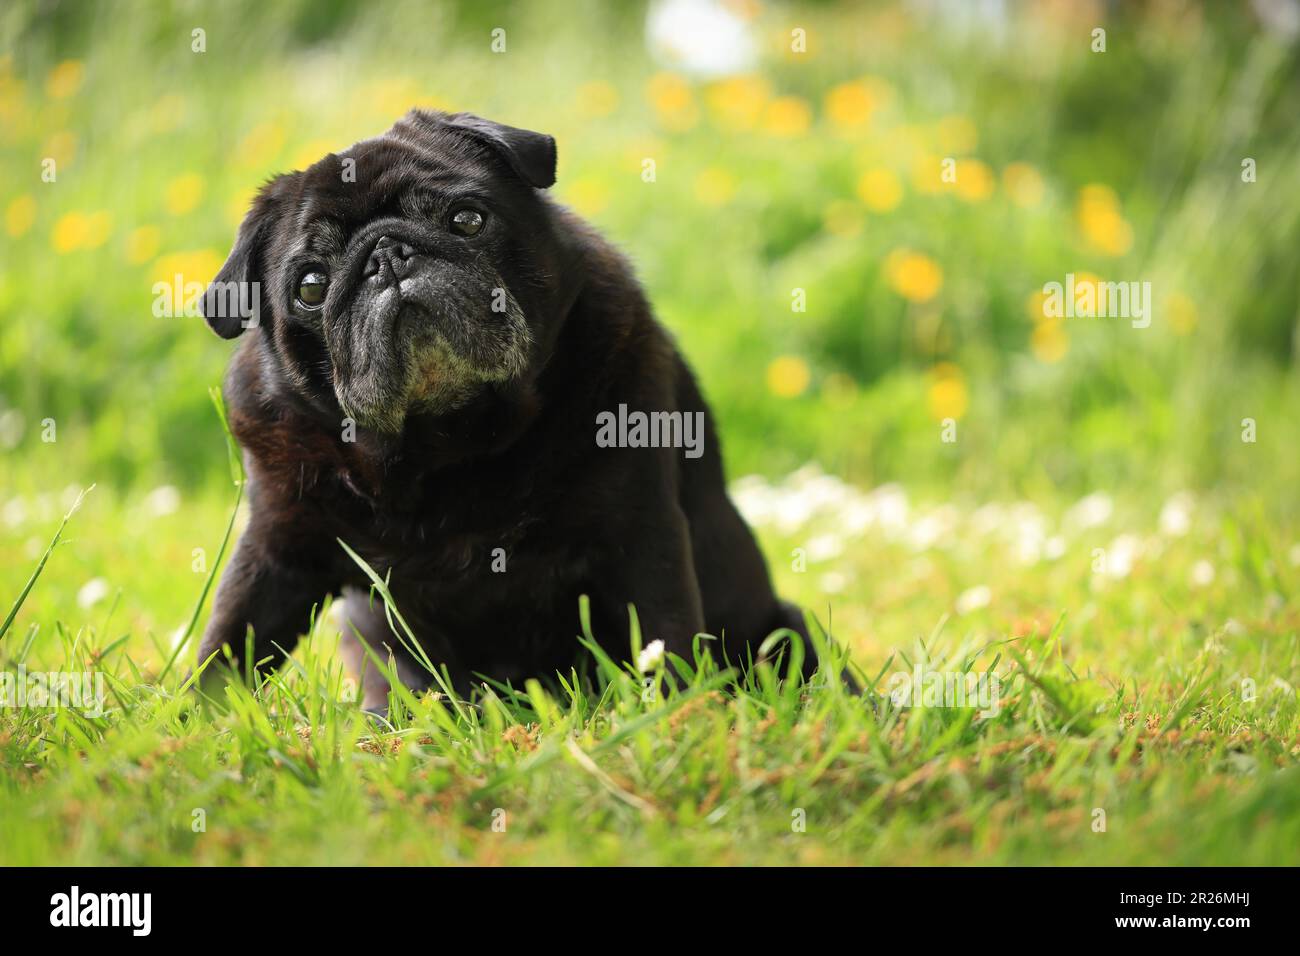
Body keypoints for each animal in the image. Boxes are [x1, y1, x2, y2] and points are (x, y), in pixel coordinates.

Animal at [192, 108, 821, 707]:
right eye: (311, 286)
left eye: (467, 219)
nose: (388, 256)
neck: (448, 443)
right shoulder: (277, 552)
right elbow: (225, 650)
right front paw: (192, 724)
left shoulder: (640, 536)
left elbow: (666, 640)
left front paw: (681, 715)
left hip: (787, 629)